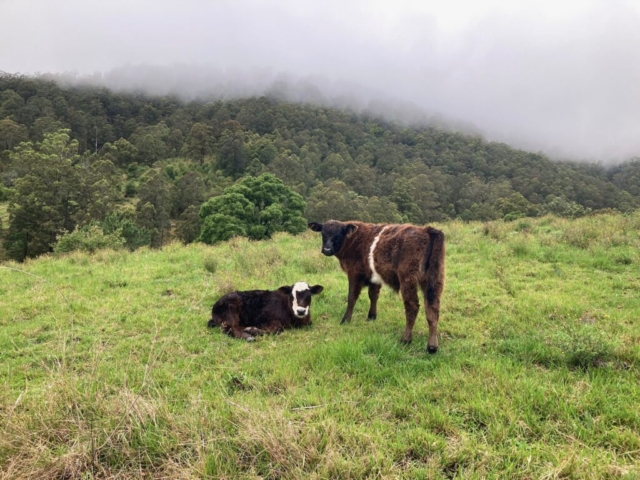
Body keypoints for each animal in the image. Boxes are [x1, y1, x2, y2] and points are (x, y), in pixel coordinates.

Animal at [308, 220, 444, 352]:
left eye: (339, 234)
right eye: (323, 234)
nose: (327, 250)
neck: (352, 241)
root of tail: (427, 230)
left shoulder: (354, 274)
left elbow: (351, 297)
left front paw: (345, 320)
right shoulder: (374, 278)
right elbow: (373, 295)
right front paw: (372, 316)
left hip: (408, 279)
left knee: (412, 306)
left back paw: (406, 339)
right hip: (434, 280)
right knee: (433, 308)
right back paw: (432, 346)